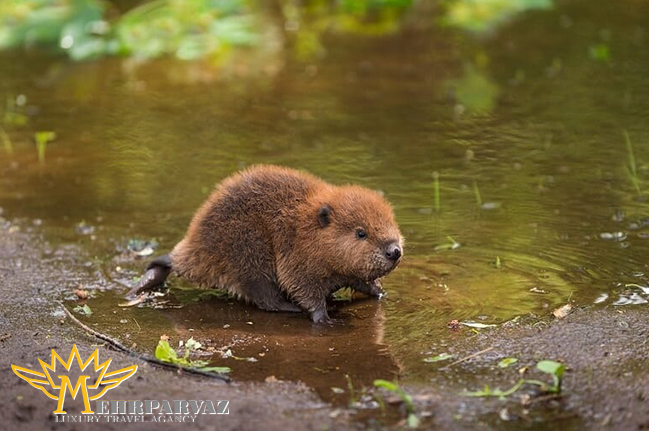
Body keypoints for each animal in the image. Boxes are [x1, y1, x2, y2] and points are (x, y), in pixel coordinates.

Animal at [132, 165, 402, 324]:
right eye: (361, 233)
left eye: (391, 221)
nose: (394, 251)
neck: (306, 228)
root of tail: (190, 248)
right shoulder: (296, 254)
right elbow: (301, 285)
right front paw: (324, 317)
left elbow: (361, 281)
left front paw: (381, 292)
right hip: (247, 247)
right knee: (263, 295)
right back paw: (292, 308)